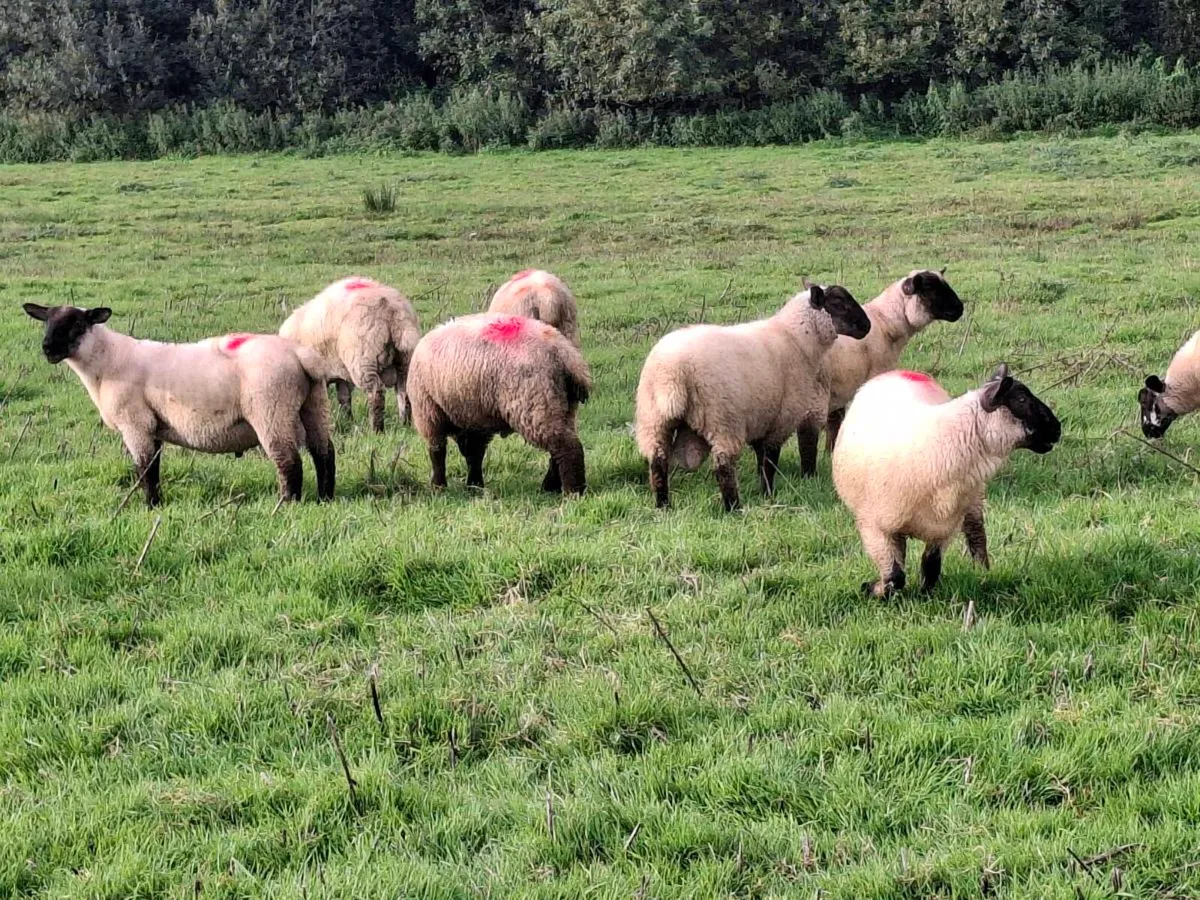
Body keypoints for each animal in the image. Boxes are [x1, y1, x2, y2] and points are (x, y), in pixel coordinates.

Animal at [23, 303, 335, 506]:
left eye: (77, 325)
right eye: (46, 322)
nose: (47, 349)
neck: (106, 361)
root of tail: (300, 354)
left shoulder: (135, 423)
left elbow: (145, 469)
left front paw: (150, 507)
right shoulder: (153, 426)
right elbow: (154, 466)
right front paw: (157, 503)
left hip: (271, 408)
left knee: (289, 462)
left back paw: (287, 505)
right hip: (313, 403)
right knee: (324, 453)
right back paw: (325, 498)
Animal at [279, 276, 421, 432]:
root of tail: (392, 311)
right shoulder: (341, 374)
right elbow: (344, 397)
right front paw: (347, 420)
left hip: (363, 358)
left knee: (376, 392)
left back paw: (376, 429)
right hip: (405, 358)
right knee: (403, 390)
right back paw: (404, 424)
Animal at [406, 312, 591, 494]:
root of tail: (565, 354)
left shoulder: (429, 412)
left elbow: (437, 452)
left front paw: (438, 487)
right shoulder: (476, 418)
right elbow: (475, 455)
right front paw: (474, 485)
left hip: (535, 404)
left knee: (567, 446)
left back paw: (572, 491)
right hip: (563, 406)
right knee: (558, 447)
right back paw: (550, 487)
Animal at [634, 281, 871, 511]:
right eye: (838, 303)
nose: (867, 326)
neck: (795, 339)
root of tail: (672, 373)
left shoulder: (762, 416)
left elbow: (760, 456)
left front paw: (763, 490)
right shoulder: (781, 417)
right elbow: (771, 460)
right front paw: (769, 492)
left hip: (654, 420)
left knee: (658, 462)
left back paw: (663, 505)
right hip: (722, 419)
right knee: (723, 466)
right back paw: (733, 508)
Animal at [832, 364, 1060, 596]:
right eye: (1021, 399)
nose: (1057, 428)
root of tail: (901, 371)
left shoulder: (944, 527)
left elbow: (931, 566)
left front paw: (926, 596)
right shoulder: (874, 527)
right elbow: (894, 577)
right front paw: (871, 588)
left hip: (973, 500)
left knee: (976, 533)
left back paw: (982, 571)